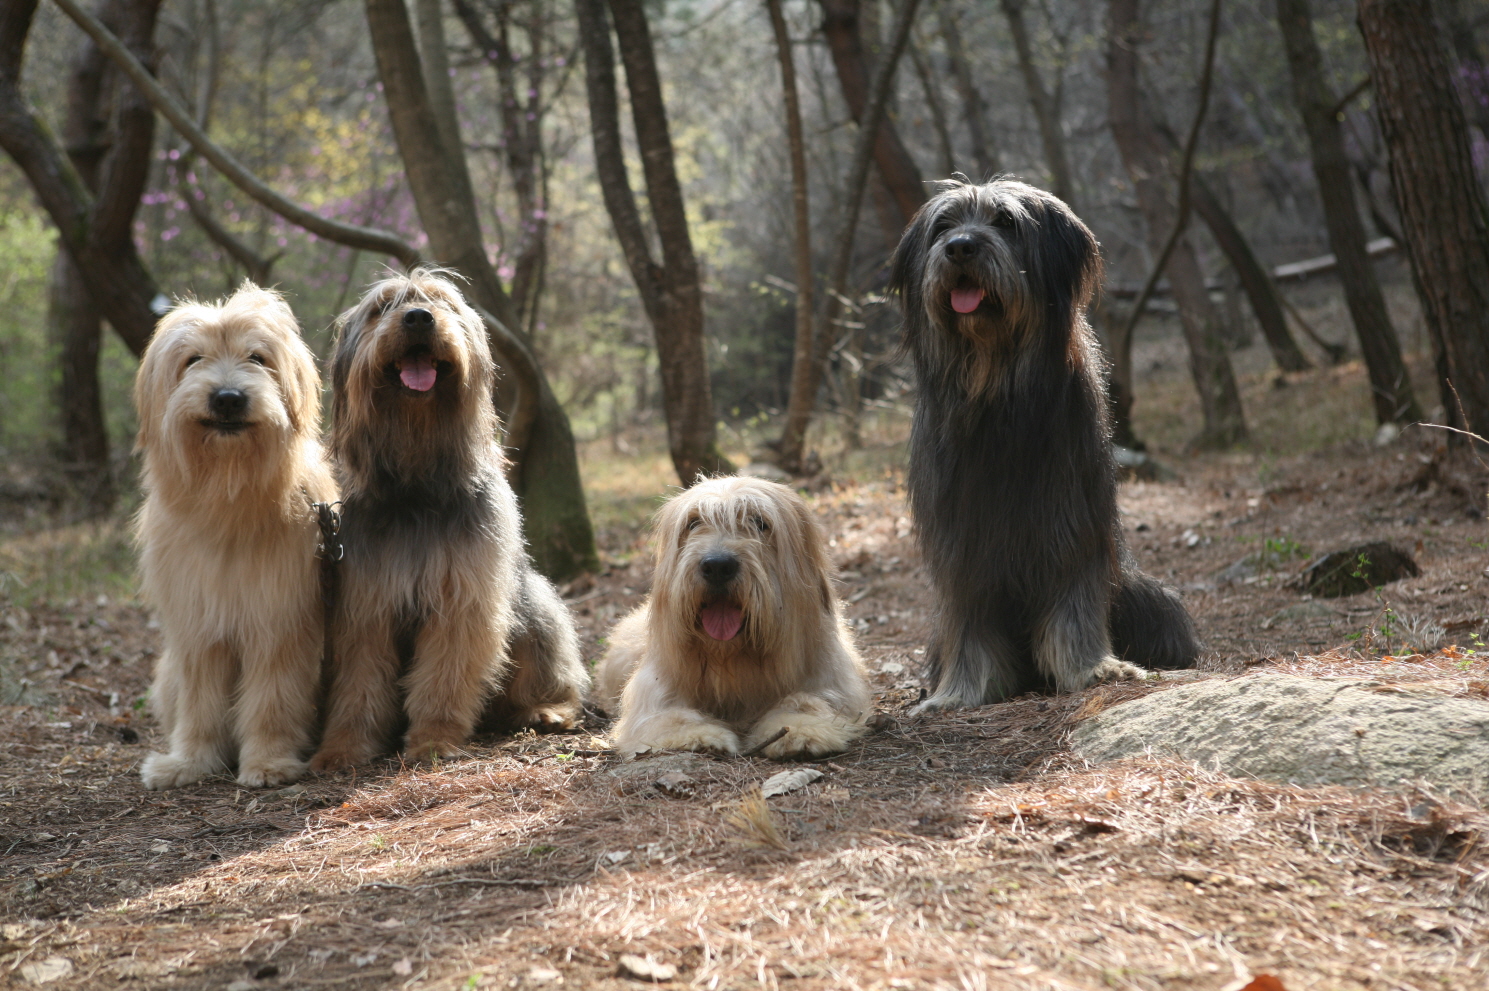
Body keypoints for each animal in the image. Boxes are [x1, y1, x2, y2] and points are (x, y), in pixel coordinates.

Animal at [133, 284, 335, 785]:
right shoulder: (198, 628)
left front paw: (268, 762)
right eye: (193, 359)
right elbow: (201, 700)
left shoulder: (278, 621)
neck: (229, 498)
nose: (227, 398)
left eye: (257, 357)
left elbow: (272, 696)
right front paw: (190, 761)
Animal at [311, 266, 583, 767]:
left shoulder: (461, 599)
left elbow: (445, 674)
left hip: (535, 605)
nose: (419, 318)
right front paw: (343, 746)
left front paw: (434, 738)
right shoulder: (365, 605)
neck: (417, 485)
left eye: (443, 303)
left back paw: (546, 709)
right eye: (383, 307)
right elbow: (359, 682)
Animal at [595, 473, 869, 755]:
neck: (732, 658)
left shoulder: (830, 681)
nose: (717, 566)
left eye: (760, 522)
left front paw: (801, 728)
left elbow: (806, 700)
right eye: (693, 522)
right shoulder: (655, 689)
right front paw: (694, 734)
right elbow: (668, 714)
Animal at [881, 173, 1197, 705]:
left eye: (1006, 222)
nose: (960, 247)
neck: (996, 389)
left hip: (1148, 596)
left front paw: (1092, 668)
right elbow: (969, 622)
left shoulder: (1069, 518)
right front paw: (963, 690)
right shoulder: (962, 542)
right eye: (943, 227)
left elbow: (1074, 598)